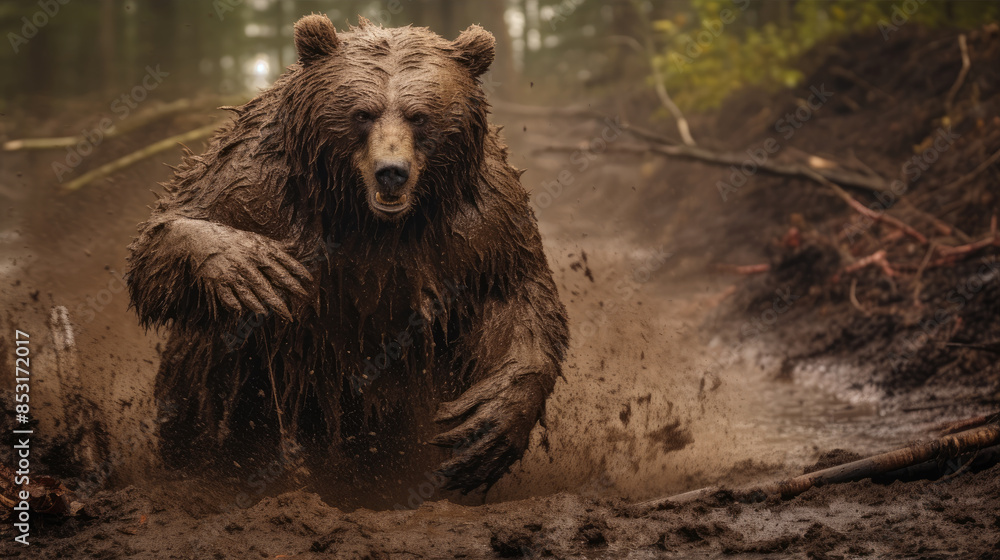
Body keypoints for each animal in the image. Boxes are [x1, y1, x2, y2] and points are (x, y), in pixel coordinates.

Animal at [126, 14, 568, 503]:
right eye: (363, 113)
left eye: (419, 116)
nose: (391, 171)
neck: (368, 218)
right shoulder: (258, 187)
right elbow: (165, 236)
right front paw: (250, 266)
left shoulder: (480, 223)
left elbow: (514, 296)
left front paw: (490, 425)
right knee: (214, 363)